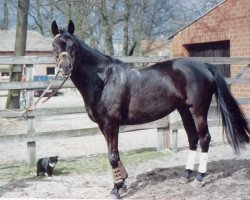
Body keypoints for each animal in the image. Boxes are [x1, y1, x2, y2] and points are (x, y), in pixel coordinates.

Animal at [50, 20, 248, 198]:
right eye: (54, 45)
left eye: (73, 45)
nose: (65, 67)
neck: (103, 80)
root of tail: (203, 66)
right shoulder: (103, 125)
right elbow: (114, 154)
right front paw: (122, 181)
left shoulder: (111, 124)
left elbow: (112, 155)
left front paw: (116, 188)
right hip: (184, 111)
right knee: (193, 139)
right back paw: (186, 174)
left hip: (198, 110)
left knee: (204, 138)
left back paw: (199, 177)